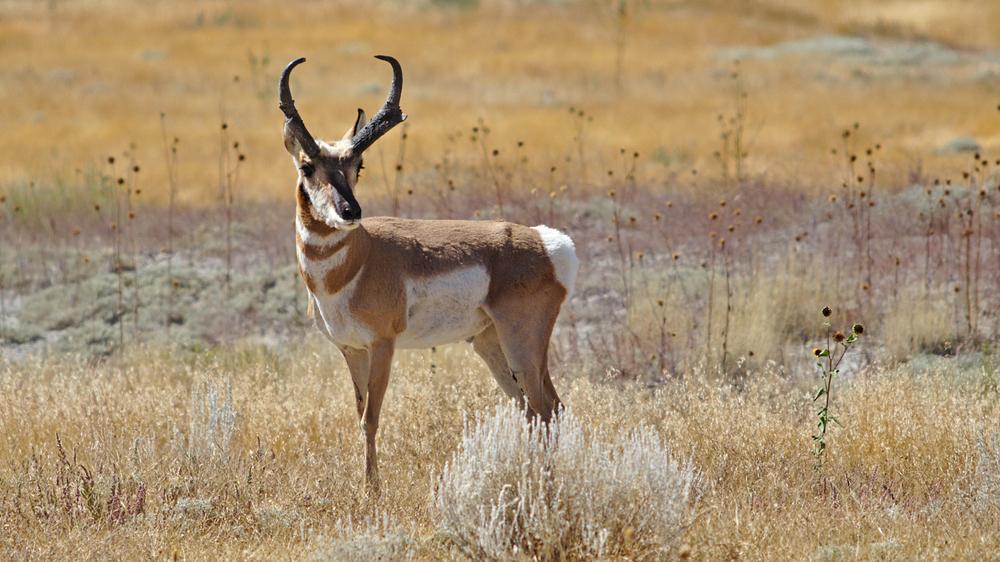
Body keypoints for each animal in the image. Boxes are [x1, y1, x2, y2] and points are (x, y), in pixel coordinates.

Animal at [282, 55, 580, 490]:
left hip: (521, 343)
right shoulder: (351, 350)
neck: (359, 260)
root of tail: (547, 241)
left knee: (546, 409)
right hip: (491, 345)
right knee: (536, 409)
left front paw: (372, 492)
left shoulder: (382, 345)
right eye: (307, 166)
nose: (350, 211)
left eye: (358, 165)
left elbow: (371, 419)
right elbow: (359, 416)